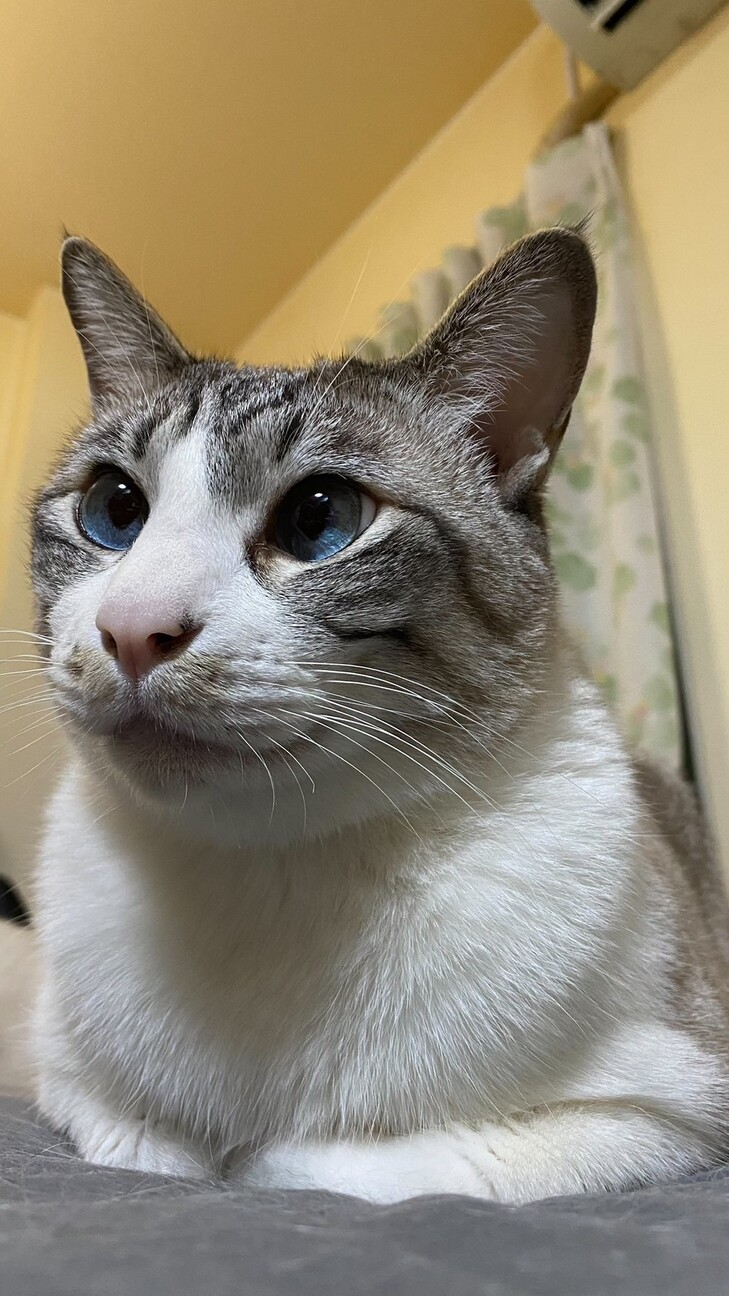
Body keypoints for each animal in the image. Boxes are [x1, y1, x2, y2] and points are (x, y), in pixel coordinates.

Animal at [29, 229, 729, 1202]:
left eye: (321, 519)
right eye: (113, 509)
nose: (133, 629)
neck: (266, 869)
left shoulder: (660, 1112)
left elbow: (314, 1168)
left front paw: (253, 1160)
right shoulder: (69, 1081)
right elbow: (151, 1149)